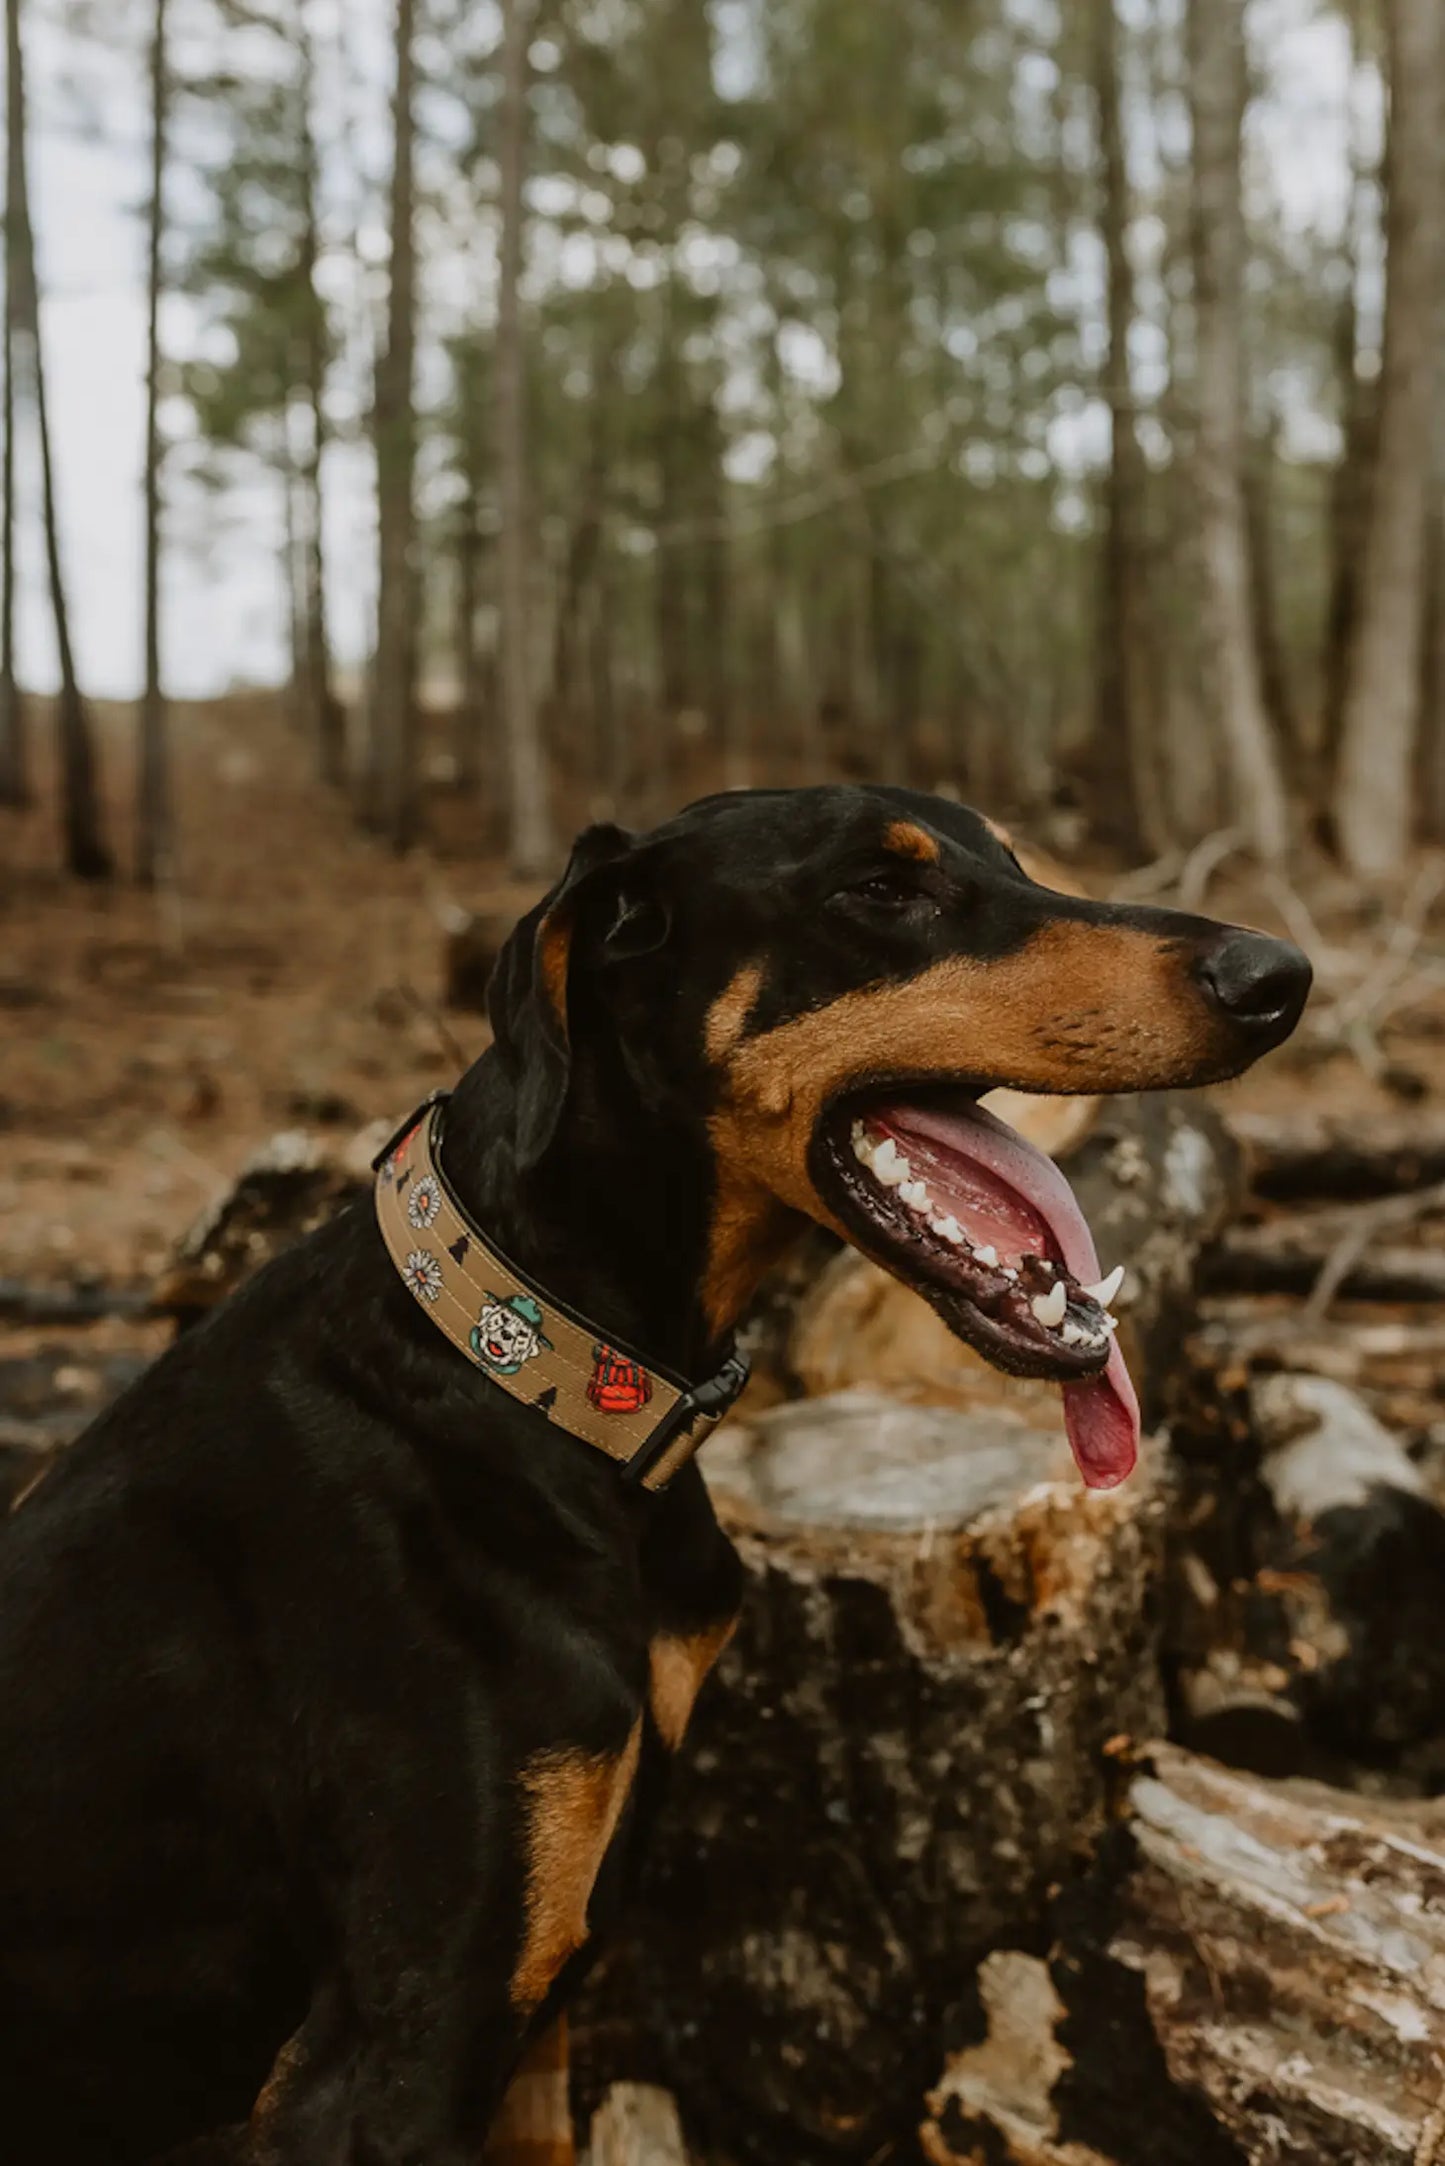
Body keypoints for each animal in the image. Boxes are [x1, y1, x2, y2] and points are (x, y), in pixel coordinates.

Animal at [0, 788, 1308, 2157]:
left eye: (1012, 861)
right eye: (880, 890)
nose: (1277, 976)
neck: (538, 1369)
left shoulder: (539, 2007)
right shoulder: (392, 2055)